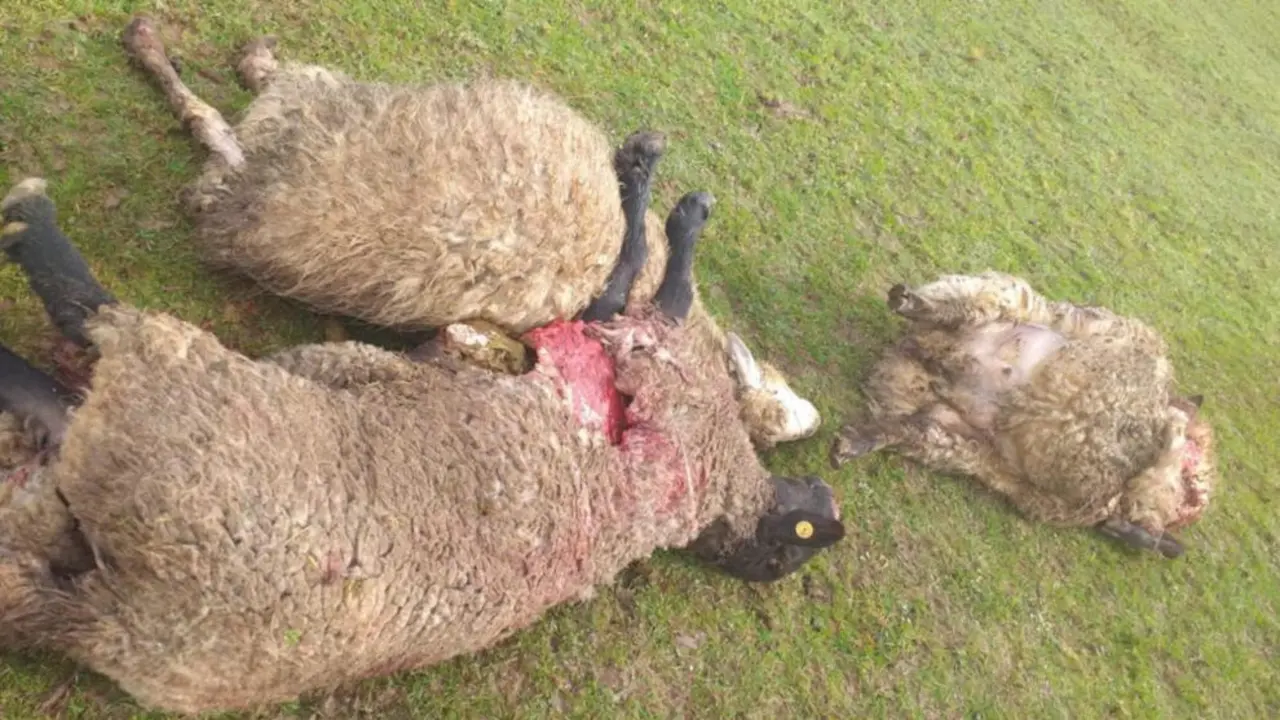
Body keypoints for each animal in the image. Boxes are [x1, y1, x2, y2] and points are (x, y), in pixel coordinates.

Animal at [0, 176, 846, 715]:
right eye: (799, 543)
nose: (822, 497)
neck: (705, 496)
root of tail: (118, 624)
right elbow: (629, 268)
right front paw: (664, 187)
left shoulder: (651, 365)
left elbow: (643, 275)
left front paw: (674, 204)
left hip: (175, 409)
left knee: (86, 327)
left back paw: (29, 218)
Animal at [118, 16, 819, 451]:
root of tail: (250, 191)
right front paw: (658, 180)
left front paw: (658, 183)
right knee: (218, 115)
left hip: (311, 105)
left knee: (216, 111)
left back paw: (169, 48)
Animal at [829, 271, 1216, 558]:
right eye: (1192, 485)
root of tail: (932, 351)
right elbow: (1165, 447)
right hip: (1014, 298)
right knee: (967, 306)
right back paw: (913, 302)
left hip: (951, 435)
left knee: (912, 430)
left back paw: (858, 441)